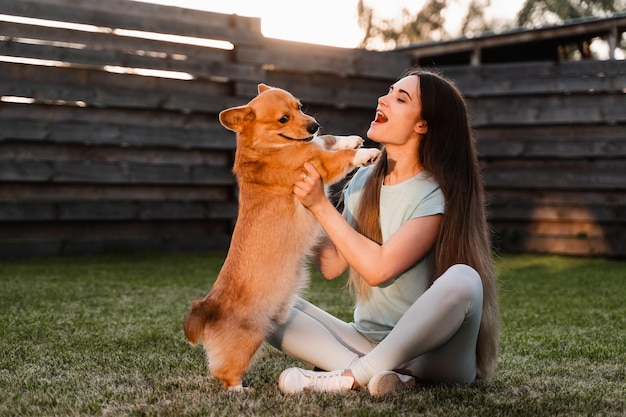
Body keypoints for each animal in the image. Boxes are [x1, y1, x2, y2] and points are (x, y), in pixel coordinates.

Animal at [178, 83, 378, 390]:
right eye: (283, 119)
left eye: (300, 106)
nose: (314, 124)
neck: (270, 147)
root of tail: (208, 307)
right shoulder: (318, 164)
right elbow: (336, 157)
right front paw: (366, 153)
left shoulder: (316, 147)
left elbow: (328, 140)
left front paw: (352, 139)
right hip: (249, 340)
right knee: (225, 373)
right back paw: (240, 390)